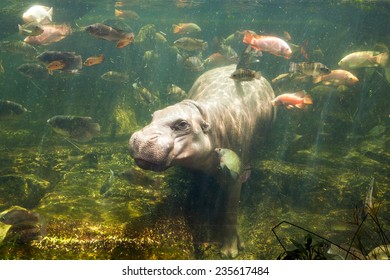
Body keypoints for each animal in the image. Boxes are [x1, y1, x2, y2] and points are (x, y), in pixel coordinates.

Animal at [128, 64, 274, 258]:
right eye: (154, 115)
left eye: (182, 124)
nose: (141, 139)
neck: (207, 118)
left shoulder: (234, 177)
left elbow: (230, 211)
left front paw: (230, 252)